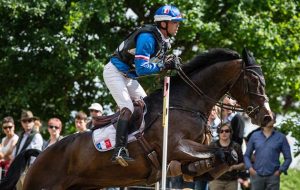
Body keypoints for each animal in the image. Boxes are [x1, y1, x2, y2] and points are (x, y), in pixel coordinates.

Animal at [0, 48, 272, 189]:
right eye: (254, 80)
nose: (267, 116)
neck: (187, 104)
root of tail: (39, 156)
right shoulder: (176, 147)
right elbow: (222, 152)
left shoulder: (188, 157)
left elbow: (225, 155)